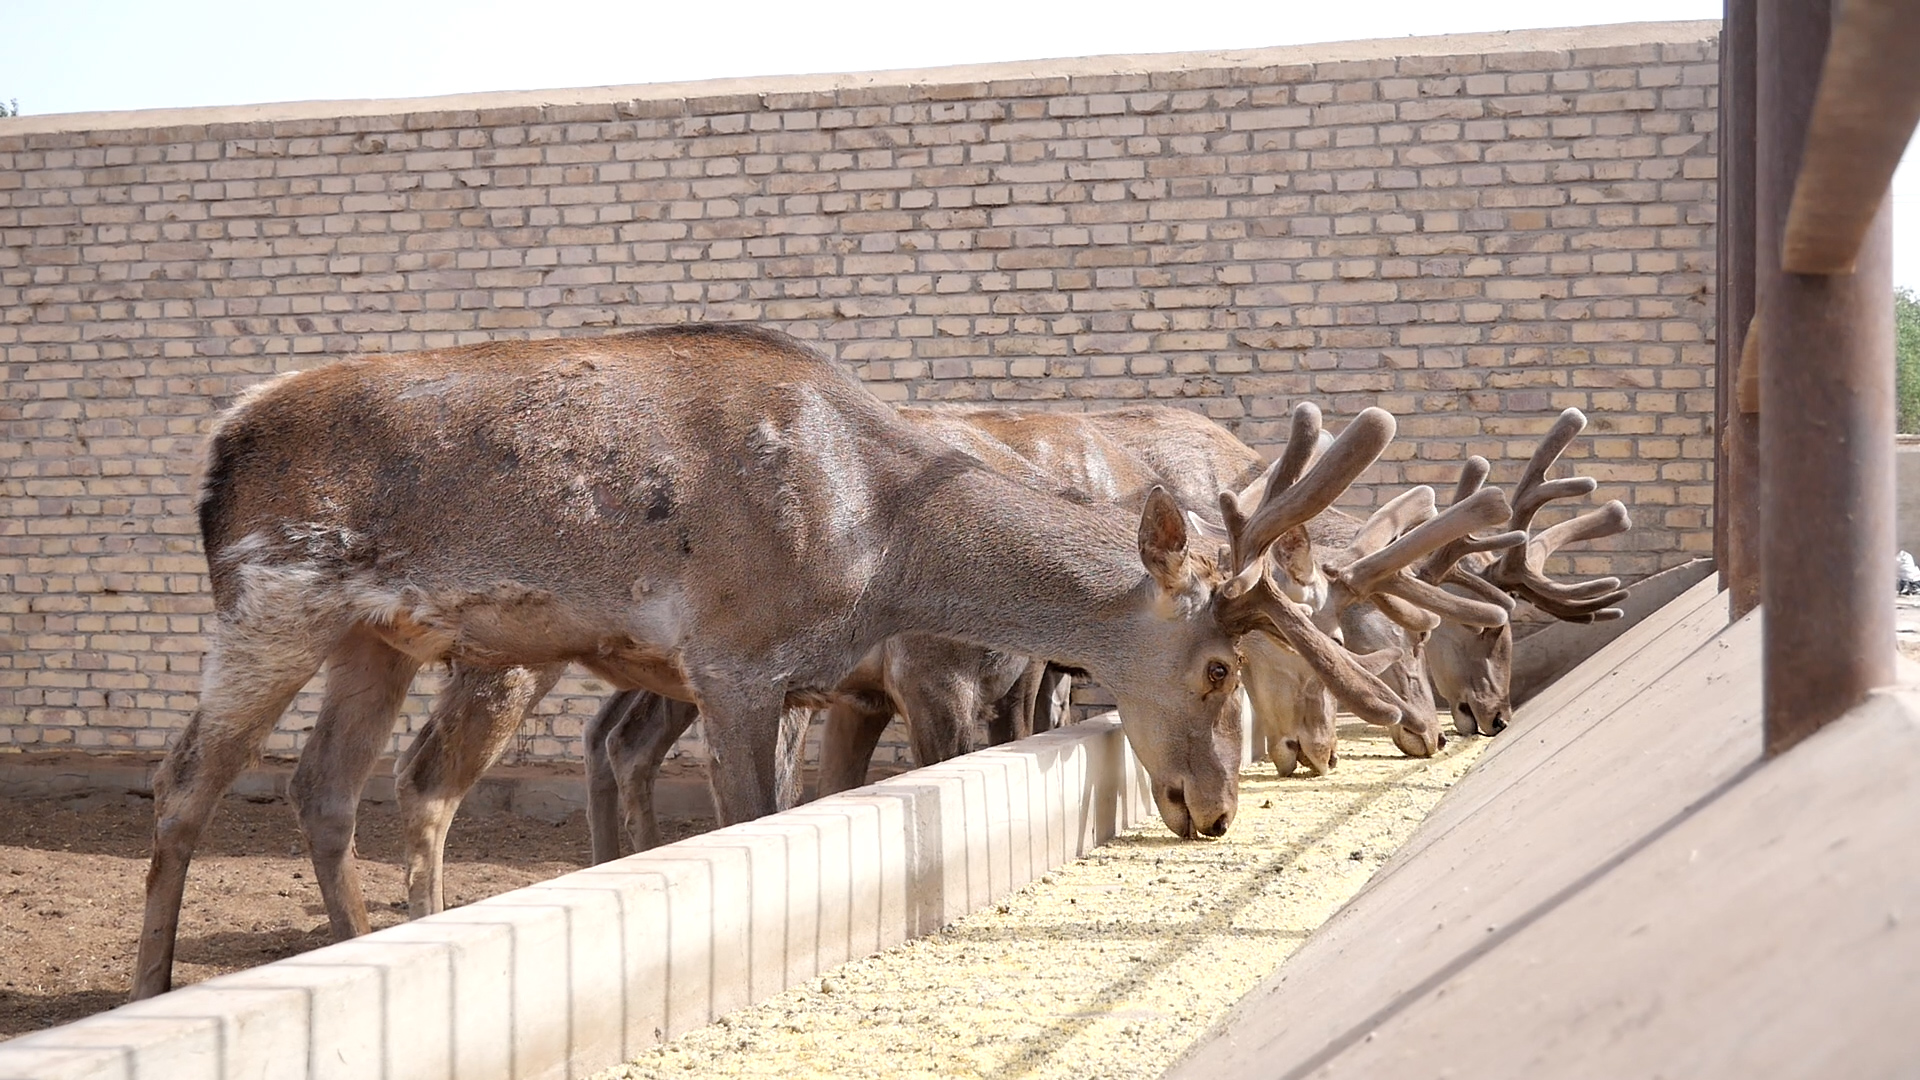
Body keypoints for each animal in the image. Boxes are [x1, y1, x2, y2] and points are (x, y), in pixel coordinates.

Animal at [123, 322, 1413, 999]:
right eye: (1217, 668)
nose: (1211, 809)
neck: (878, 538)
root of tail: (220, 446)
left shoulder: (802, 679)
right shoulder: (737, 658)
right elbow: (749, 822)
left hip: (373, 635)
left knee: (323, 785)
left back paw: (368, 941)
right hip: (272, 597)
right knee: (187, 781)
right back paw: (153, 981)